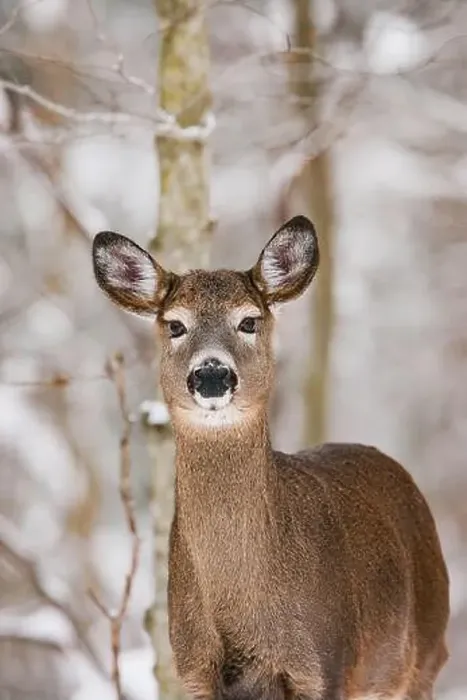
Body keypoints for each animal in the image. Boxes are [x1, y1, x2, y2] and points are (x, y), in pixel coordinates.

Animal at [92, 216, 449, 700]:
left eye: (249, 320)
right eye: (175, 325)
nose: (211, 374)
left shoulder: (324, 666)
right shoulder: (192, 670)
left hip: (424, 653)